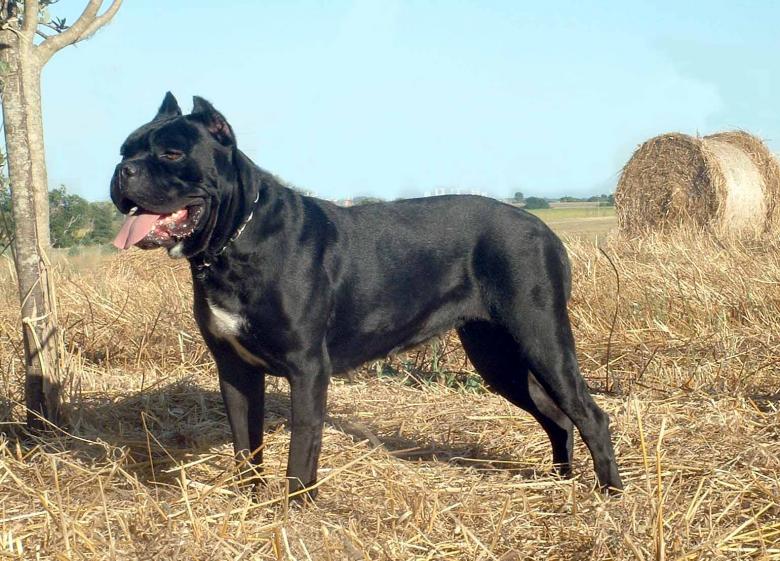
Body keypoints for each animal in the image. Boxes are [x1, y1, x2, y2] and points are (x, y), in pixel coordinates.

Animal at [111, 93, 620, 498]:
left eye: (172, 152)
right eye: (124, 149)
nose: (122, 170)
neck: (234, 240)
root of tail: (544, 229)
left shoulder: (307, 369)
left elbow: (302, 448)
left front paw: (296, 509)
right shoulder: (235, 370)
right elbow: (245, 445)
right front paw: (252, 503)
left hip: (541, 338)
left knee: (590, 414)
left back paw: (609, 495)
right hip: (498, 355)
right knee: (557, 416)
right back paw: (560, 481)